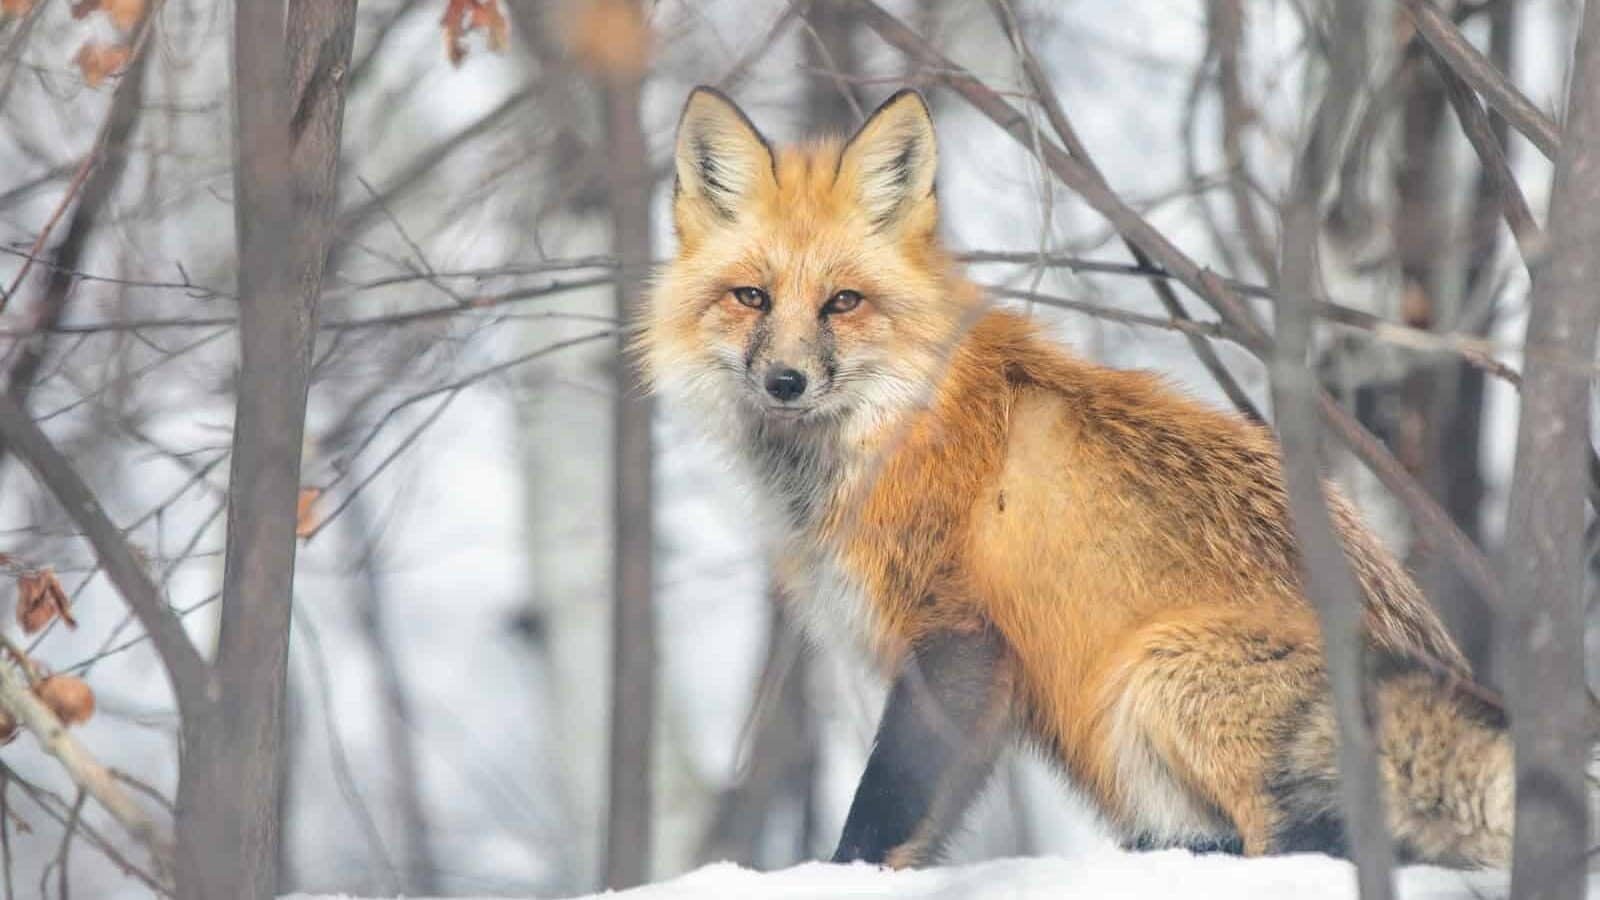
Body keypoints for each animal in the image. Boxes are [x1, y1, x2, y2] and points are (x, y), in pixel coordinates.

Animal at [639, 85, 1517, 870]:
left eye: (843, 302)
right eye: (751, 297)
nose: (785, 382)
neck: (894, 426)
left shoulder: (959, 636)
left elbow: (882, 811)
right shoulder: (984, 693)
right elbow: (922, 828)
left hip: (1160, 676)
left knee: (1310, 845)